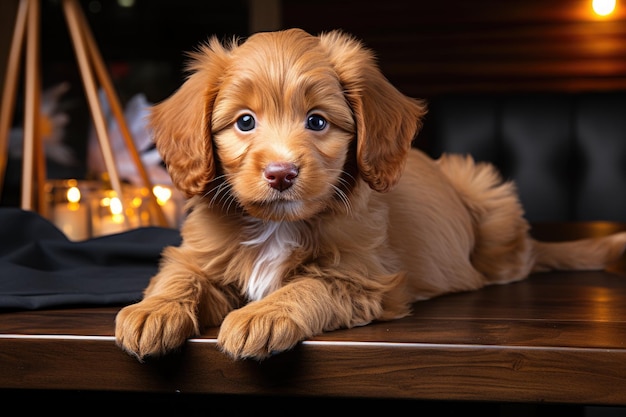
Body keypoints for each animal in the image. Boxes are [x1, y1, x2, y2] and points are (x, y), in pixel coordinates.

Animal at [114, 28, 620, 360]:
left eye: (317, 121)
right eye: (244, 122)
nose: (281, 173)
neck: (277, 226)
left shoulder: (363, 278)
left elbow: (309, 285)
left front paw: (264, 314)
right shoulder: (198, 255)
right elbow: (180, 276)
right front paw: (151, 311)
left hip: (486, 194)